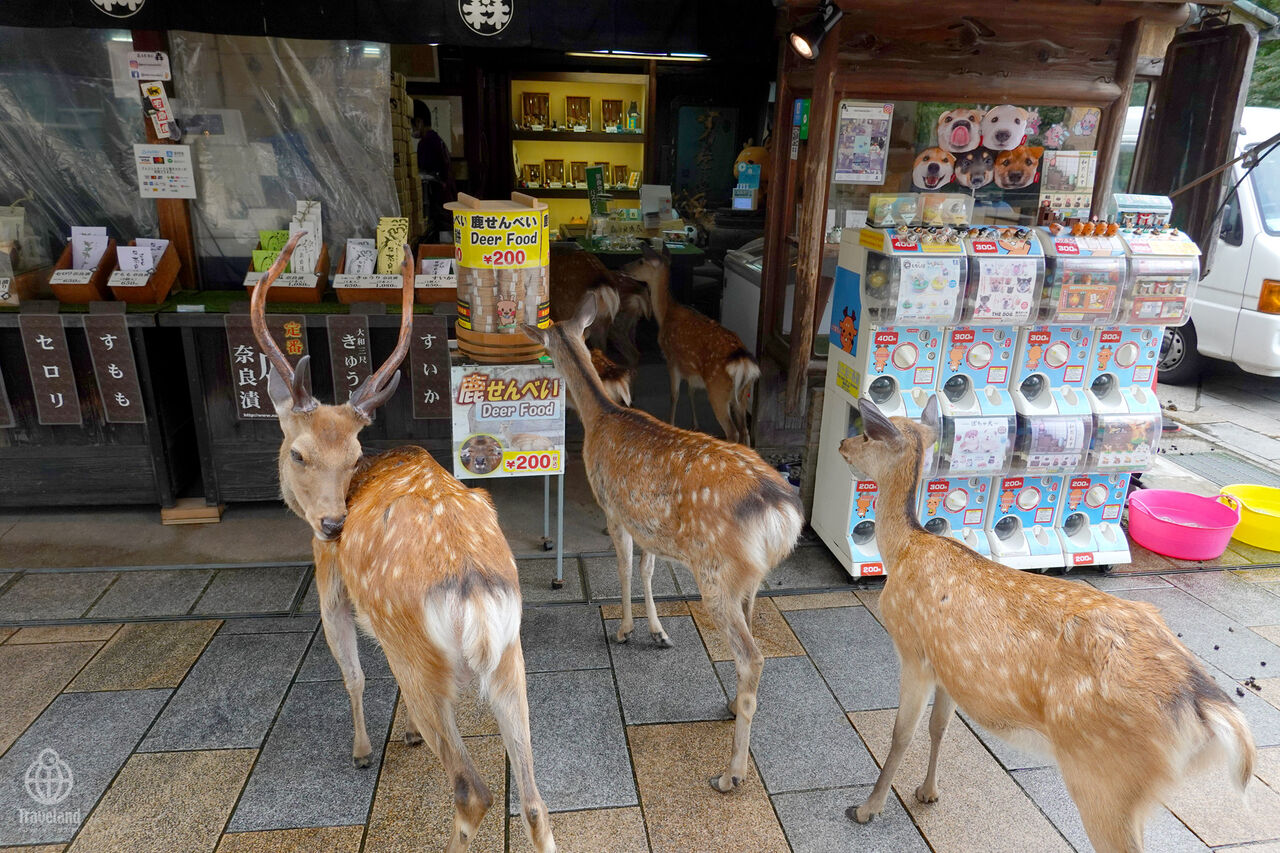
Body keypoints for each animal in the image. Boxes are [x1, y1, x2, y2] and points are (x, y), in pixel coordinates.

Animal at [251, 234, 556, 853]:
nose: (333, 525)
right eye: (301, 453)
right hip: (509, 656)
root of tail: (474, 596)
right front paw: (407, 736)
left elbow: (355, 671)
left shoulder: (332, 584)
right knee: (535, 800)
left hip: (421, 659)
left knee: (472, 790)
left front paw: (363, 751)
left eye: (348, 456)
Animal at [521, 296, 803, 793]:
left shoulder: (613, 508)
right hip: (751, 578)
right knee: (750, 640)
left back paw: (731, 773)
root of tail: (782, 514)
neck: (603, 417)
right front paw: (657, 632)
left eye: (547, 348)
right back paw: (731, 706)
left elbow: (622, 567)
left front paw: (623, 629)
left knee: (752, 656)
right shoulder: (646, 523)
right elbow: (648, 569)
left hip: (716, 573)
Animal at [623, 244, 759, 445]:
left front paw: (671, 424)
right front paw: (695, 425)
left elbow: (674, 395)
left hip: (718, 390)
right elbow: (691, 391)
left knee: (733, 432)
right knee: (746, 431)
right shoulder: (691, 368)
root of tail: (743, 361)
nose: (623, 267)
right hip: (743, 393)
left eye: (640, 261)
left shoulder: (671, 359)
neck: (665, 315)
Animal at [838, 395, 1256, 853]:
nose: (841, 444)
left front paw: (867, 808)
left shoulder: (912, 648)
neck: (905, 549)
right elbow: (939, 727)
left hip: (1104, 776)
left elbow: (901, 735)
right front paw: (928, 792)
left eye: (867, 435)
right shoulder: (949, 665)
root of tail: (1206, 705)